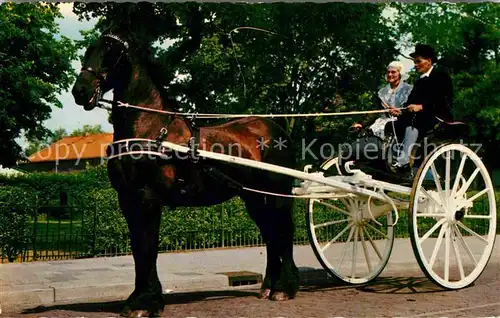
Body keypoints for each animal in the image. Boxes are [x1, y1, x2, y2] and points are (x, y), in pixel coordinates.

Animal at [72, 31, 298, 316]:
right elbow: (138, 249)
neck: (151, 130)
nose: (80, 91)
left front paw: (145, 302)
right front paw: (139, 299)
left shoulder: (147, 198)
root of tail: (276, 129)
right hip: (254, 198)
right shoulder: (128, 200)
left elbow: (148, 248)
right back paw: (269, 286)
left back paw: (284, 289)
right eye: (88, 50)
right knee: (270, 236)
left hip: (277, 195)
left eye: (111, 53)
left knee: (284, 233)